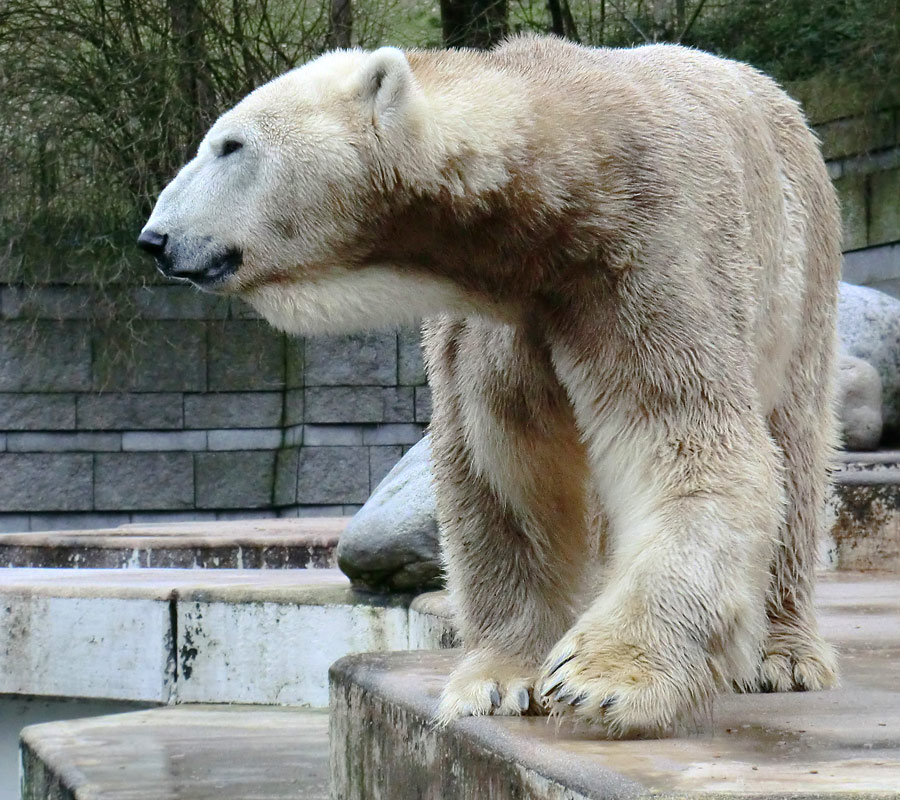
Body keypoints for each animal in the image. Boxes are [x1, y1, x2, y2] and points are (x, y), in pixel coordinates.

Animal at [139, 37, 836, 736]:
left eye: (230, 146)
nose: (154, 239)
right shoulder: (495, 318)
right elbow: (504, 470)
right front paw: (499, 682)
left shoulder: (649, 254)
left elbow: (685, 439)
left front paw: (603, 679)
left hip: (799, 269)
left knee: (795, 449)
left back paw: (783, 655)